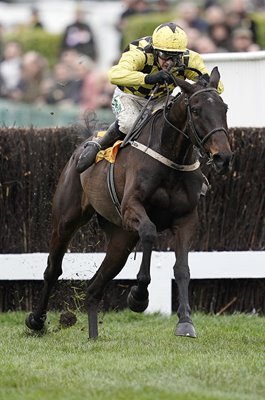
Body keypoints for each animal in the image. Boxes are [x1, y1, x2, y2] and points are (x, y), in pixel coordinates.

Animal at [24, 67, 231, 340]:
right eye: (196, 110)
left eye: (224, 108)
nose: (223, 157)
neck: (170, 158)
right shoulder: (131, 208)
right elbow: (149, 232)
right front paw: (139, 297)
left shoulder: (186, 219)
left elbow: (182, 268)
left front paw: (185, 321)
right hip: (66, 220)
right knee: (53, 269)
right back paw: (36, 320)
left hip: (121, 238)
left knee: (94, 287)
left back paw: (93, 336)